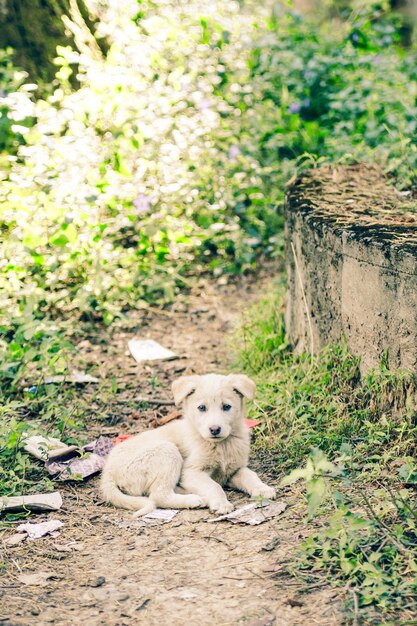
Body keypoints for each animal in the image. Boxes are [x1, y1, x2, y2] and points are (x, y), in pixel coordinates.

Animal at [100, 376, 274, 512]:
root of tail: (108, 472)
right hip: (167, 451)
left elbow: (251, 476)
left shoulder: (234, 470)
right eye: (202, 408)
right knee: (158, 495)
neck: (221, 445)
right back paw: (193, 500)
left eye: (226, 407)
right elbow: (214, 486)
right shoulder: (192, 472)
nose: (215, 429)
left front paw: (263, 489)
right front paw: (221, 503)